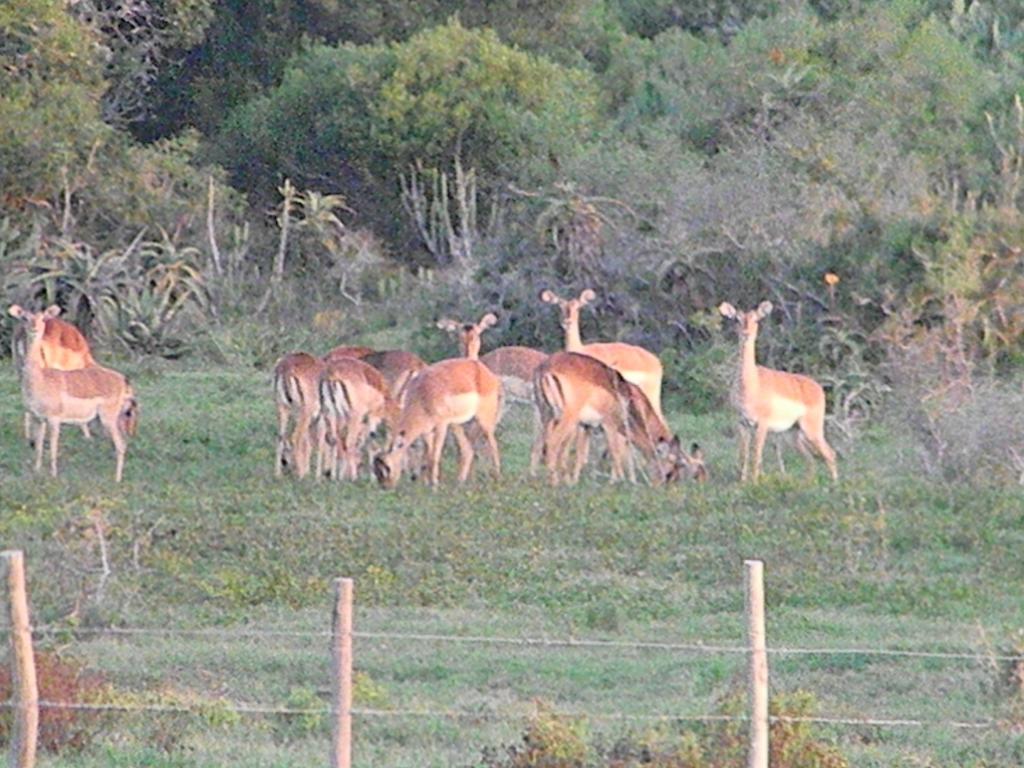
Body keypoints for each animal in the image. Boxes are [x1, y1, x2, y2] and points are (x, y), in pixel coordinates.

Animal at [376, 360, 503, 489]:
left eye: (387, 467)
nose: (385, 487)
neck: (421, 396)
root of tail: (484, 371)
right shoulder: (427, 432)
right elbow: (429, 456)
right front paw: (428, 484)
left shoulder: (441, 426)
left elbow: (435, 456)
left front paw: (434, 486)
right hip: (456, 425)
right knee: (467, 450)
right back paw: (460, 482)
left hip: (484, 422)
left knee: (493, 446)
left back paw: (497, 478)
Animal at [716, 303, 835, 483]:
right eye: (737, 318)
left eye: (756, 319)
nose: (746, 333)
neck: (750, 386)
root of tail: (818, 388)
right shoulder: (742, 423)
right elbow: (743, 455)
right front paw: (742, 483)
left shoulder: (762, 425)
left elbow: (756, 455)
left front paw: (754, 483)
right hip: (794, 434)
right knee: (812, 460)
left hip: (812, 430)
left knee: (830, 454)